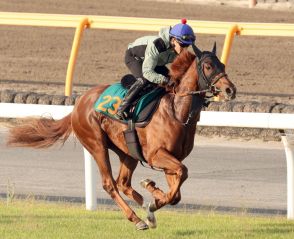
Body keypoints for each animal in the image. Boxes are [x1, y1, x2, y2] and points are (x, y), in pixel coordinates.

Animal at [6, 44, 237, 230]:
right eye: (208, 66)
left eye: (222, 64)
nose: (230, 89)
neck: (177, 111)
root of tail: (78, 105)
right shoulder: (156, 154)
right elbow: (180, 179)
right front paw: (153, 199)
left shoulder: (172, 158)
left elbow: (177, 191)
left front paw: (152, 197)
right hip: (96, 144)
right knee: (110, 183)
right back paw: (138, 219)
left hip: (128, 151)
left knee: (123, 182)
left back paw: (145, 209)